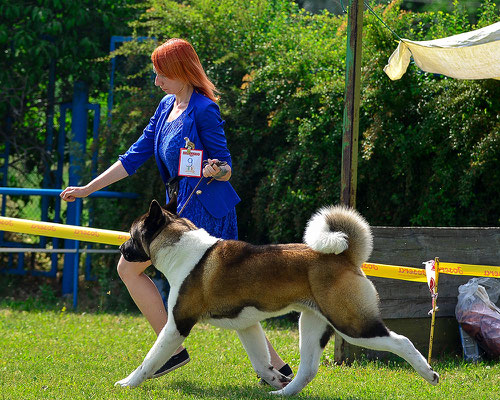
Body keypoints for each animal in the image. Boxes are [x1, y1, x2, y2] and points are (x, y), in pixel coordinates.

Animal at [115, 200, 440, 394]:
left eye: (132, 234)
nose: (120, 248)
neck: (180, 248)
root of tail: (345, 256)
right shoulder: (247, 326)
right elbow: (261, 362)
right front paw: (273, 378)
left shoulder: (177, 325)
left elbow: (149, 359)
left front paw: (128, 383)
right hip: (311, 325)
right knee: (308, 369)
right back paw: (283, 392)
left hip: (352, 324)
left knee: (402, 341)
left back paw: (429, 374)